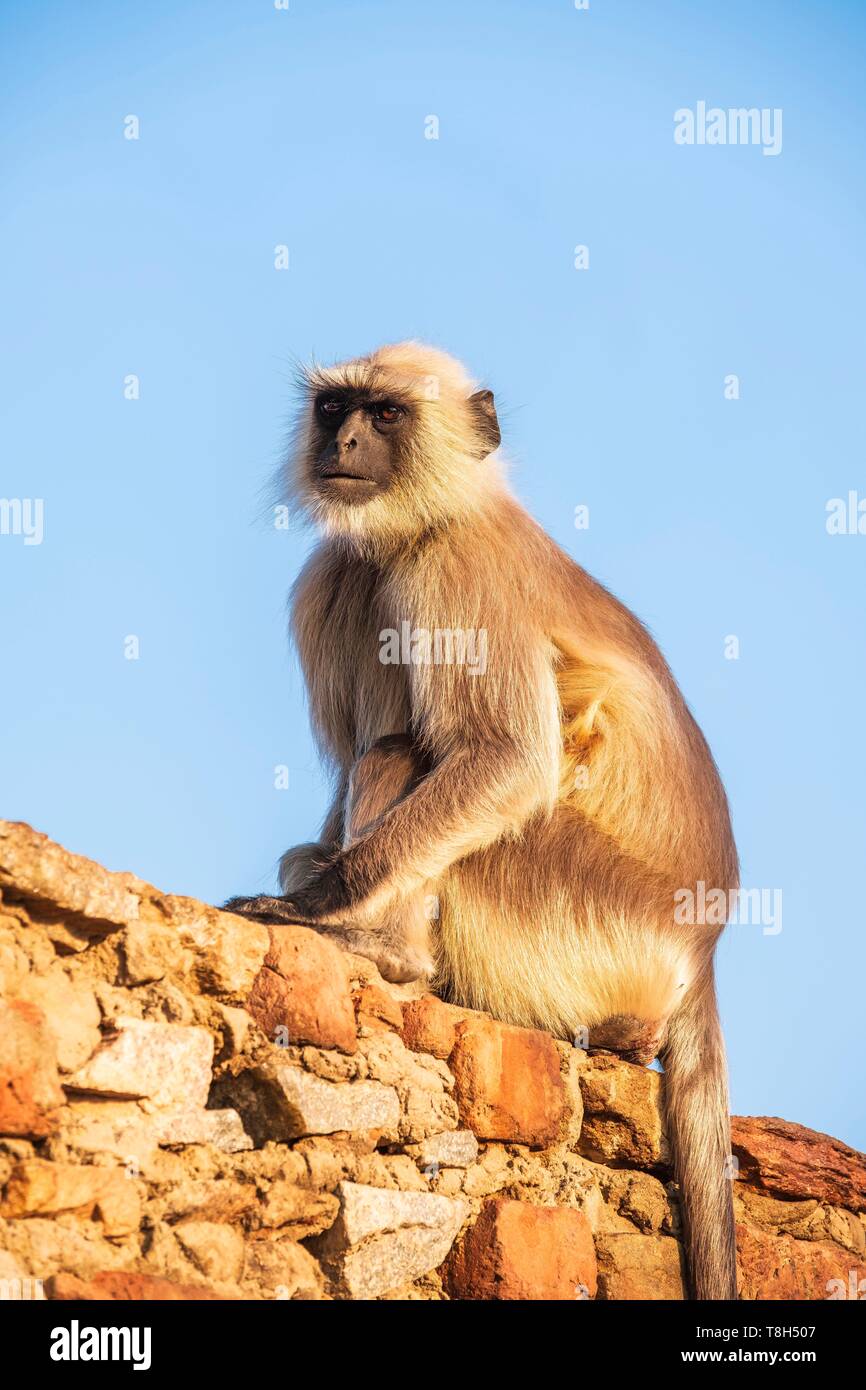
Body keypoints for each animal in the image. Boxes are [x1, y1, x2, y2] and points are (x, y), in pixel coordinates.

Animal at [225, 341, 739, 1300]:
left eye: (388, 414)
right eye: (337, 409)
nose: (345, 442)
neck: (437, 513)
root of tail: (702, 949)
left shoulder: (453, 570)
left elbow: (506, 760)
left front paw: (318, 905)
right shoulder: (341, 573)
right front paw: (312, 876)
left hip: (574, 908)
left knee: (406, 753)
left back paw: (392, 953)